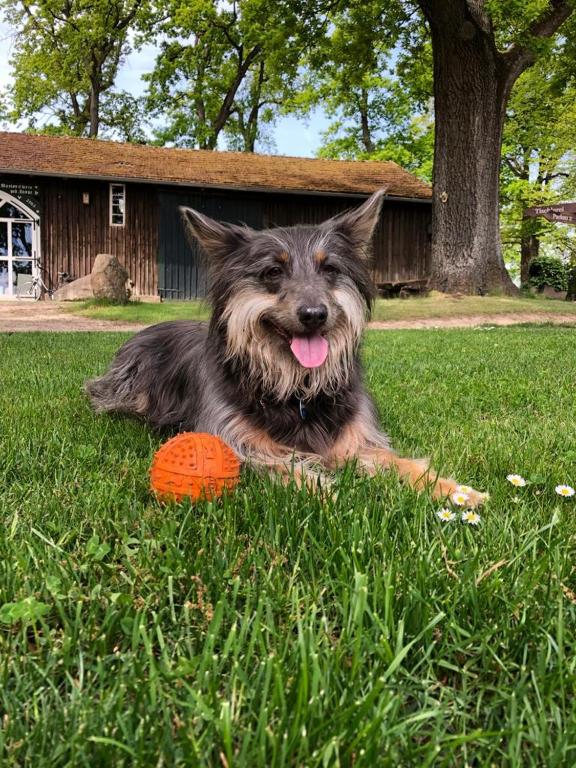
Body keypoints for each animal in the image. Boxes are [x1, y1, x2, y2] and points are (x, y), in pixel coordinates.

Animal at [86, 190, 486, 506]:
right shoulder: (240, 442)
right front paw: (328, 493)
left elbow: (397, 462)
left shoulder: (354, 439)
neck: (297, 386)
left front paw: (454, 491)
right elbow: (282, 465)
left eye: (329, 269)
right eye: (273, 272)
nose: (314, 315)